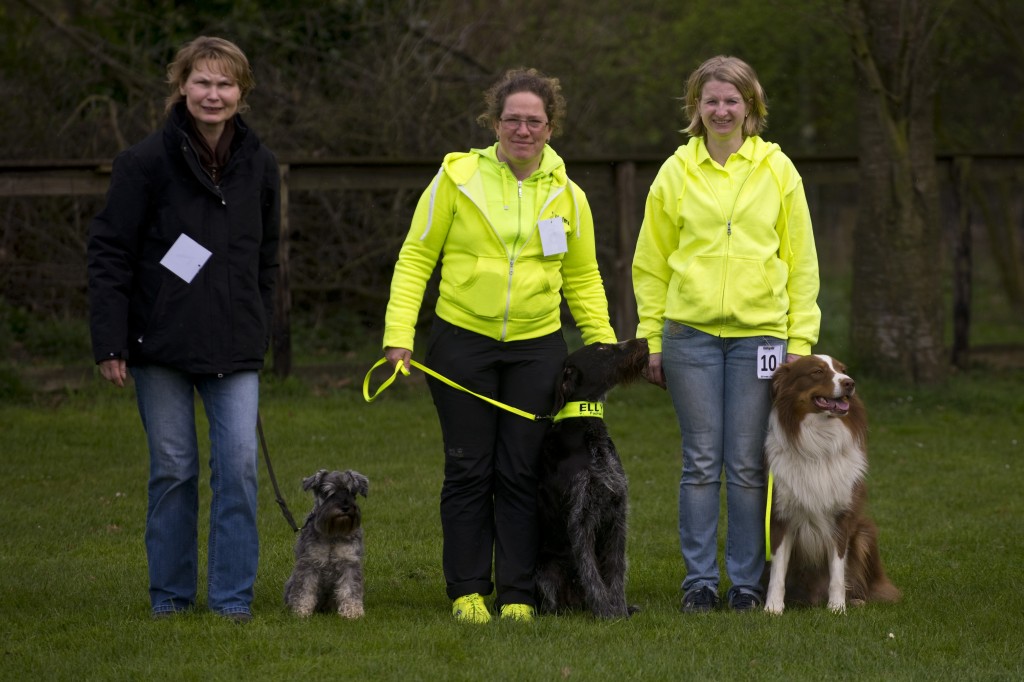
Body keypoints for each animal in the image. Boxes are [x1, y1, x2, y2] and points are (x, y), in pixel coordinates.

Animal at [536, 337, 647, 618]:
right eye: (602, 349)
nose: (643, 340)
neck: (589, 434)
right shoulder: (580, 519)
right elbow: (591, 573)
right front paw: (607, 612)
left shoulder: (618, 513)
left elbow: (615, 570)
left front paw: (620, 609)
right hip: (546, 570)